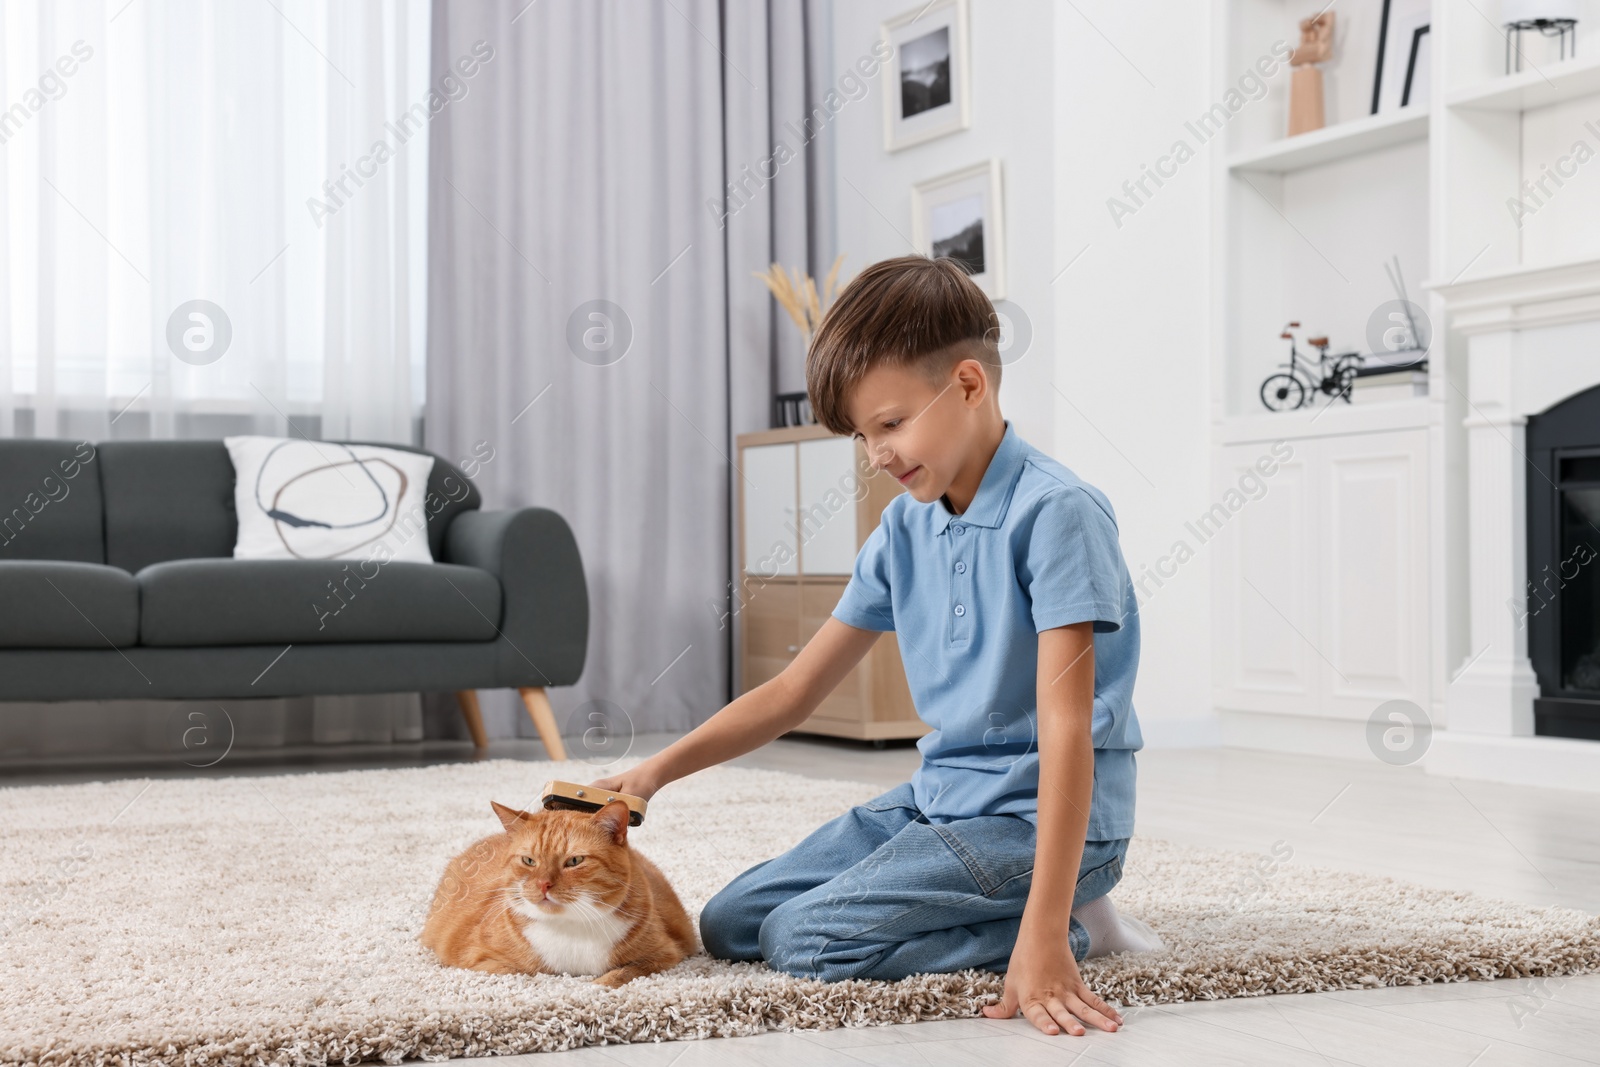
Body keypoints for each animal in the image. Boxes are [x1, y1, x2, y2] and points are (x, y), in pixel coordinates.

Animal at [422, 796, 697, 991]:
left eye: (574, 861)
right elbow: (525, 971)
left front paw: (597, 986)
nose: (543, 884)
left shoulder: (666, 953)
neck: (571, 928)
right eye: (529, 861)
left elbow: (625, 972)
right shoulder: (477, 960)